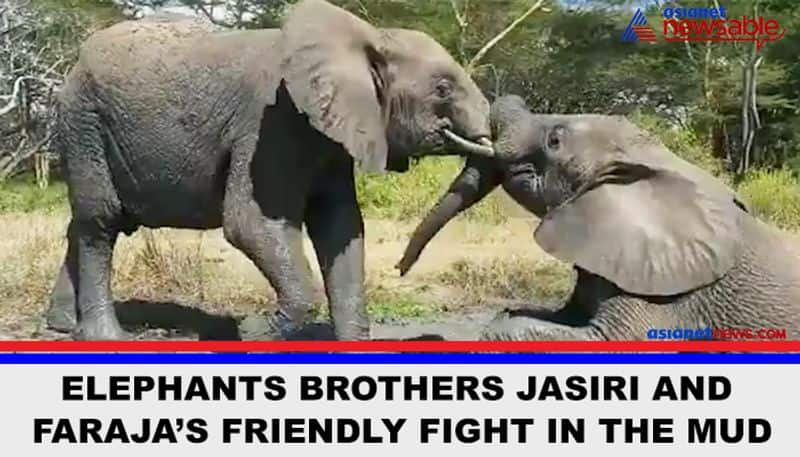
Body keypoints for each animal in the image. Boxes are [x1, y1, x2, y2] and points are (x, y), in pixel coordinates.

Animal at [48, 0, 494, 340]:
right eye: (442, 89)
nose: (401, 268)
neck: (367, 37)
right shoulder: (270, 126)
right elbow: (250, 223)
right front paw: (253, 333)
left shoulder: (329, 138)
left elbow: (340, 227)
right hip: (84, 121)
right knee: (101, 221)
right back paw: (106, 338)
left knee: (85, 222)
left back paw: (61, 326)